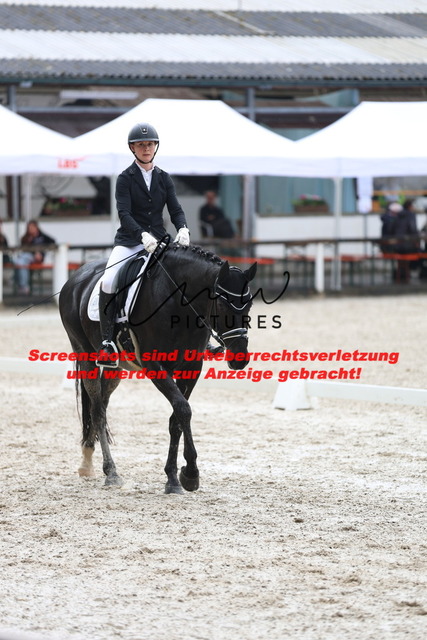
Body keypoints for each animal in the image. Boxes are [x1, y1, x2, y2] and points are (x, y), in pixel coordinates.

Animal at [59, 243, 257, 494]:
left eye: (249, 303)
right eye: (221, 304)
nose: (239, 358)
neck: (179, 304)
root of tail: (76, 277)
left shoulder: (192, 367)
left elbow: (177, 419)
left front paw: (176, 476)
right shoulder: (155, 366)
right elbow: (183, 410)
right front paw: (189, 474)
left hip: (116, 368)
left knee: (102, 404)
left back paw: (90, 463)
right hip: (85, 354)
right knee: (97, 411)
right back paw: (110, 472)